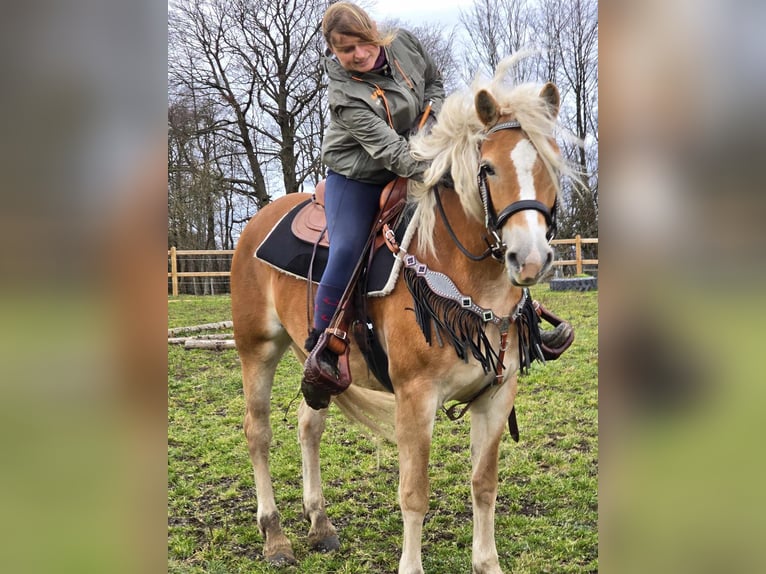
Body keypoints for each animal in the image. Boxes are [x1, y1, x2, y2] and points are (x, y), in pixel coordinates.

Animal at [234, 55, 576, 574]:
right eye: (488, 167)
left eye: (552, 164)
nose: (530, 259)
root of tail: (256, 222)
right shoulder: (416, 398)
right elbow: (414, 494)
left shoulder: (497, 396)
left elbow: (484, 485)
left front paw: (487, 563)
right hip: (257, 348)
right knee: (259, 432)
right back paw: (275, 536)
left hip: (317, 365)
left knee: (309, 423)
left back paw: (320, 524)